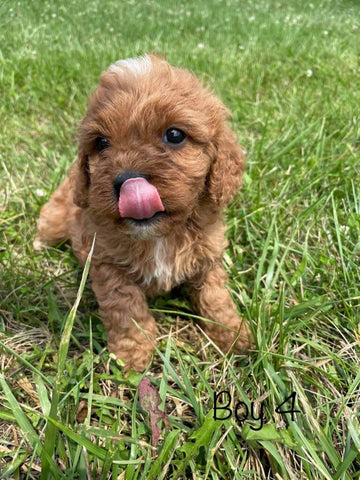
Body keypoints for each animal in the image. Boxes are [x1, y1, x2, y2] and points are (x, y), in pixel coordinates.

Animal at [34, 55, 253, 372]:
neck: (159, 234)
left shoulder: (208, 258)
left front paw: (233, 334)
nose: (128, 181)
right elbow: (126, 309)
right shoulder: (107, 264)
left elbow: (216, 298)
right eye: (101, 142)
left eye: (174, 134)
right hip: (57, 220)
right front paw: (133, 355)